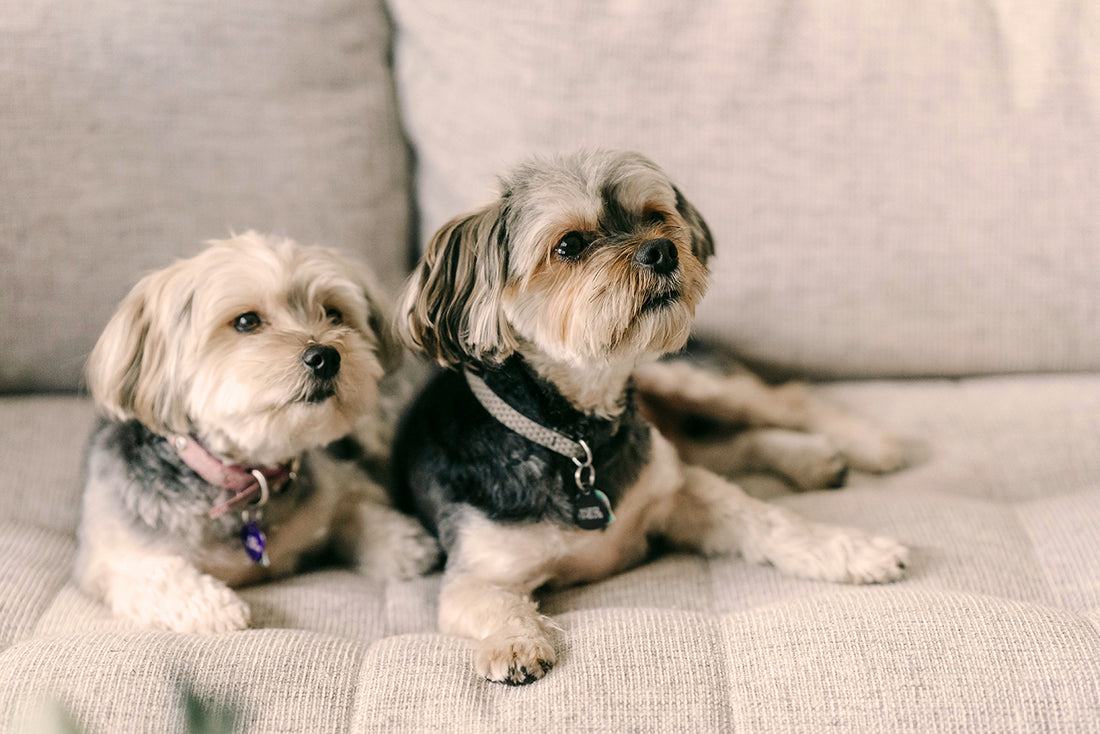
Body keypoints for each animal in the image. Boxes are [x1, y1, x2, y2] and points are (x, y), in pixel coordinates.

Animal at [75, 232, 437, 633]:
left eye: (333, 313)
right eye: (246, 321)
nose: (326, 357)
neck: (246, 477)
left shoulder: (336, 486)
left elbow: (357, 505)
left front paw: (402, 543)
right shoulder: (111, 559)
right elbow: (157, 576)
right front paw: (214, 607)